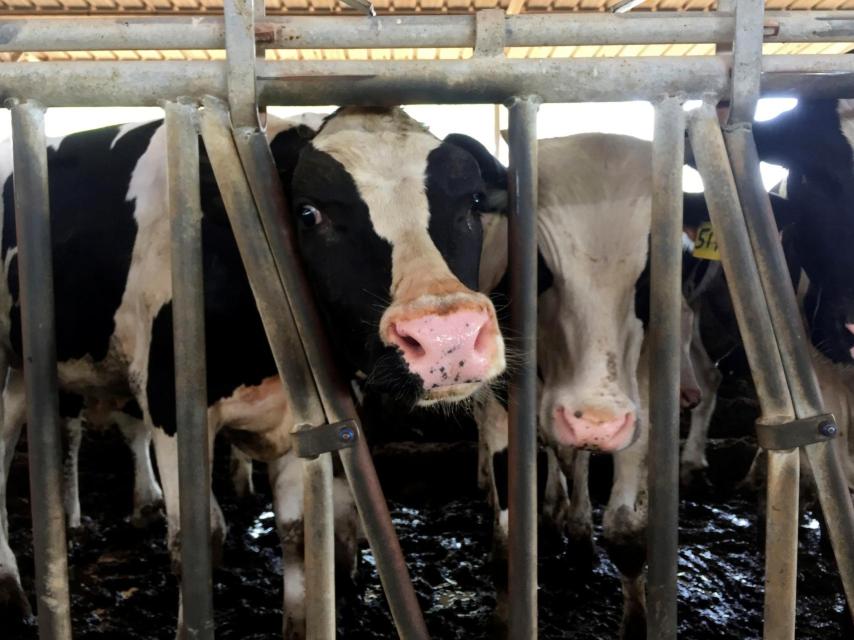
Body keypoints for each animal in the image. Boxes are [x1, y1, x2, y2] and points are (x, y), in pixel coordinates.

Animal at [0, 106, 509, 638]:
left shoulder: (301, 417)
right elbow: (200, 538)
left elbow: (298, 534)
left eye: (473, 201)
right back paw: (14, 588)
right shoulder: (171, 406)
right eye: (308, 213)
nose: (446, 335)